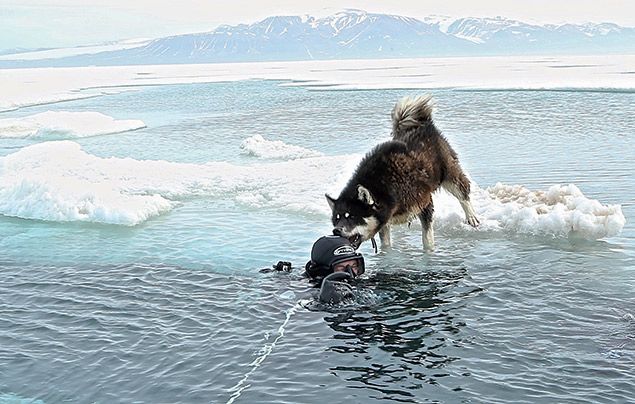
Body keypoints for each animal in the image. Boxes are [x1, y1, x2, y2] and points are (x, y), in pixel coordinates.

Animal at [326, 96, 480, 251]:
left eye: (352, 217)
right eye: (337, 219)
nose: (336, 230)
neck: (385, 185)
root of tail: (422, 124)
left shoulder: (424, 202)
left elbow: (427, 238)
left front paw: (429, 253)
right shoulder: (385, 220)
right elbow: (386, 244)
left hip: (448, 173)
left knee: (463, 191)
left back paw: (471, 216)